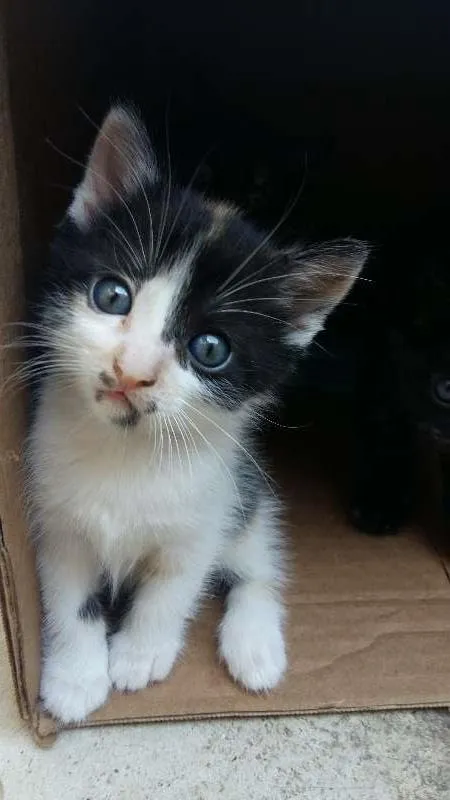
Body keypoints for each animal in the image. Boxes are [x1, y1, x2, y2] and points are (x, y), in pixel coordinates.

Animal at [26, 103, 368, 720]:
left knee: (258, 567)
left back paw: (255, 647)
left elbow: (173, 589)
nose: (133, 369)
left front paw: (139, 654)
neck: (127, 451)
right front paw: (74, 677)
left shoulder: (206, 514)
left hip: (248, 499)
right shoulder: (57, 519)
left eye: (210, 349)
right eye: (112, 296)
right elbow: (70, 598)